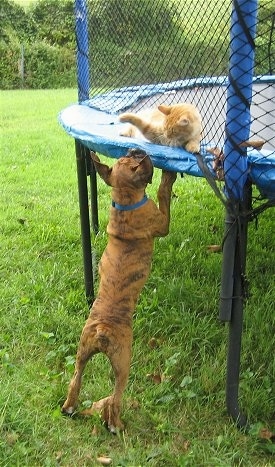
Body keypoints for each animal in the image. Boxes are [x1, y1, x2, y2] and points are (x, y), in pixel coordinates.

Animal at [61, 148, 177, 434]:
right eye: (135, 163)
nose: (139, 150)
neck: (125, 201)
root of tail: (102, 330)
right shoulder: (162, 222)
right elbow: (163, 195)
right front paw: (167, 178)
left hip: (81, 352)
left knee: (75, 381)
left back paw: (69, 408)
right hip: (123, 364)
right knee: (115, 398)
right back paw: (117, 425)